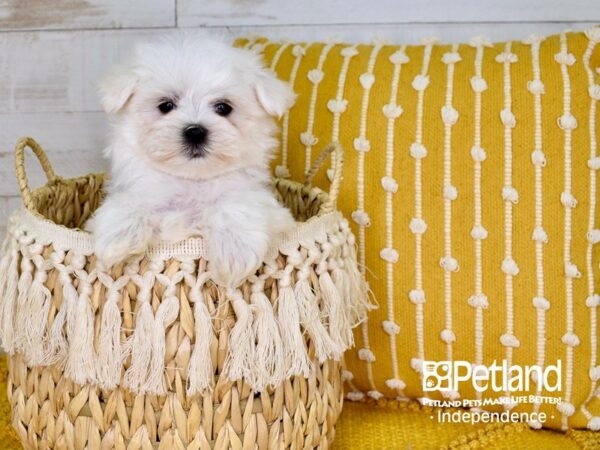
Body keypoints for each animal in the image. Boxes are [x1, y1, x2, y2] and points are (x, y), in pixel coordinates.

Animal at [86, 36, 296, 288]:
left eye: (224, 108)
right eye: (165, 106)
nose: (195, 132)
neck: (192, 181)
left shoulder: (264, 204)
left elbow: (235, 205)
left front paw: (235, 252)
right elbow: (130, 201)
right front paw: (119, 237)